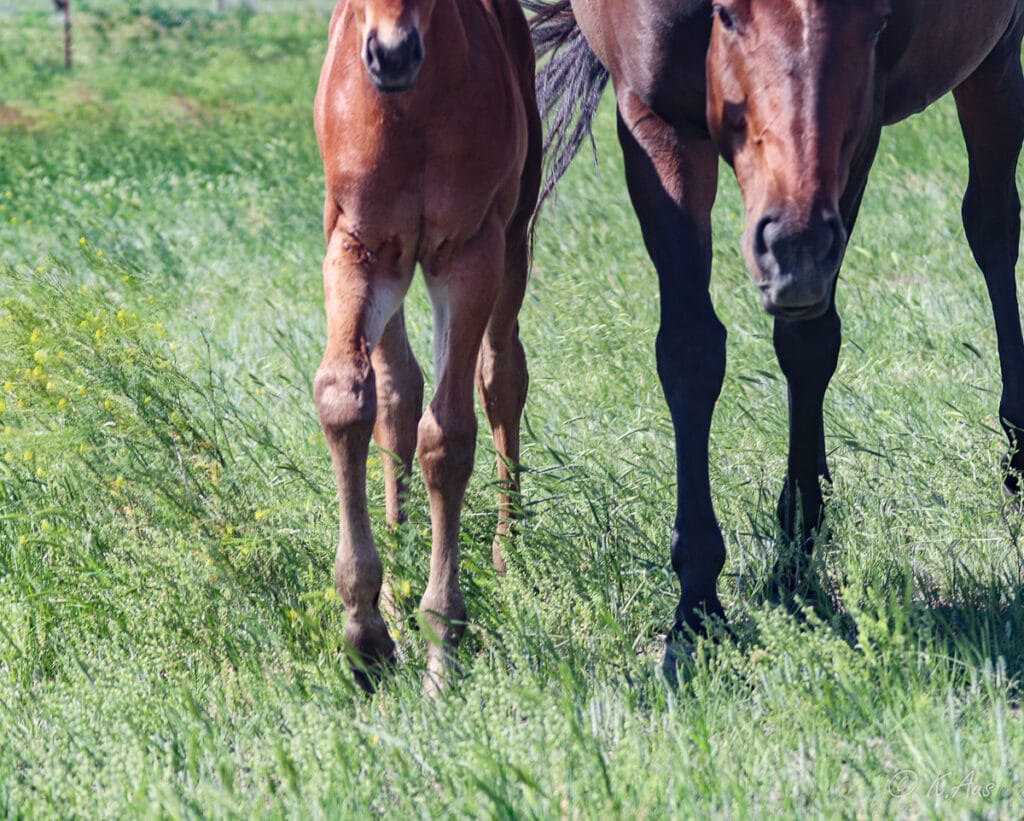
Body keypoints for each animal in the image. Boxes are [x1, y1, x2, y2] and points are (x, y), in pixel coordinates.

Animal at [311, 0, 540, 692]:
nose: (392, 53)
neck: (409, 112)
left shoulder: (466, 254)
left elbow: (450, 436)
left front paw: (442, 638)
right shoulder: (359, 248)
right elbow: (345, 401)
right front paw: (366, 632)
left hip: (512, 236)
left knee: (501, 375)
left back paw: (509, 550)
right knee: (396, 393)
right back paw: (394, 577)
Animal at [532, 0, 1024, 667]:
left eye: (877, 22)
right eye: (725, 16)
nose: (793, 246)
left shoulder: (859, 132)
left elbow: (808, 344)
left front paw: (792, 560)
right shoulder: (653, 121)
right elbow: (690, 351)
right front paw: (697, 613)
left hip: (997, 57)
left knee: (993, 224)